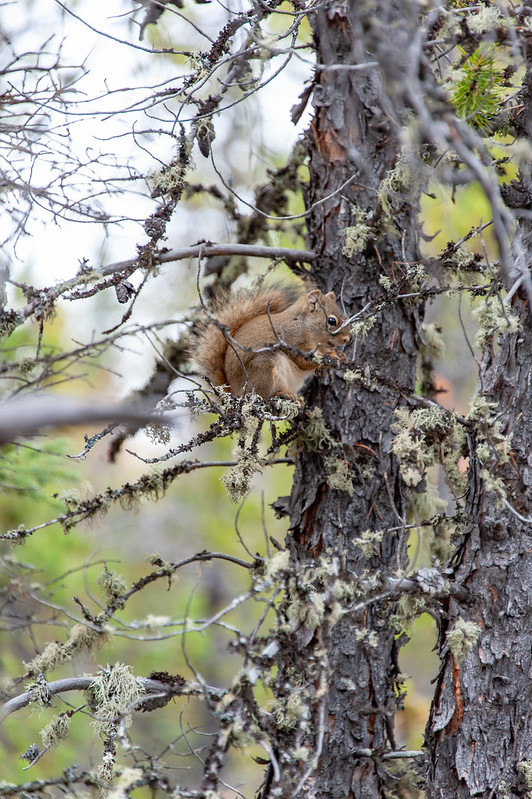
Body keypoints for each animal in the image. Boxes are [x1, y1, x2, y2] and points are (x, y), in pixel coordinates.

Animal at [193, 286, 352, 400]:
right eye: (331, 321)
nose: (348, 339)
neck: (303, 324)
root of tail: (234, 392)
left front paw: (340, 355)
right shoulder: (293, 341)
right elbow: (304, 362)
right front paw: (330, 357)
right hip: (264, 370)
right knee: (263, 397)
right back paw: (281, 394)